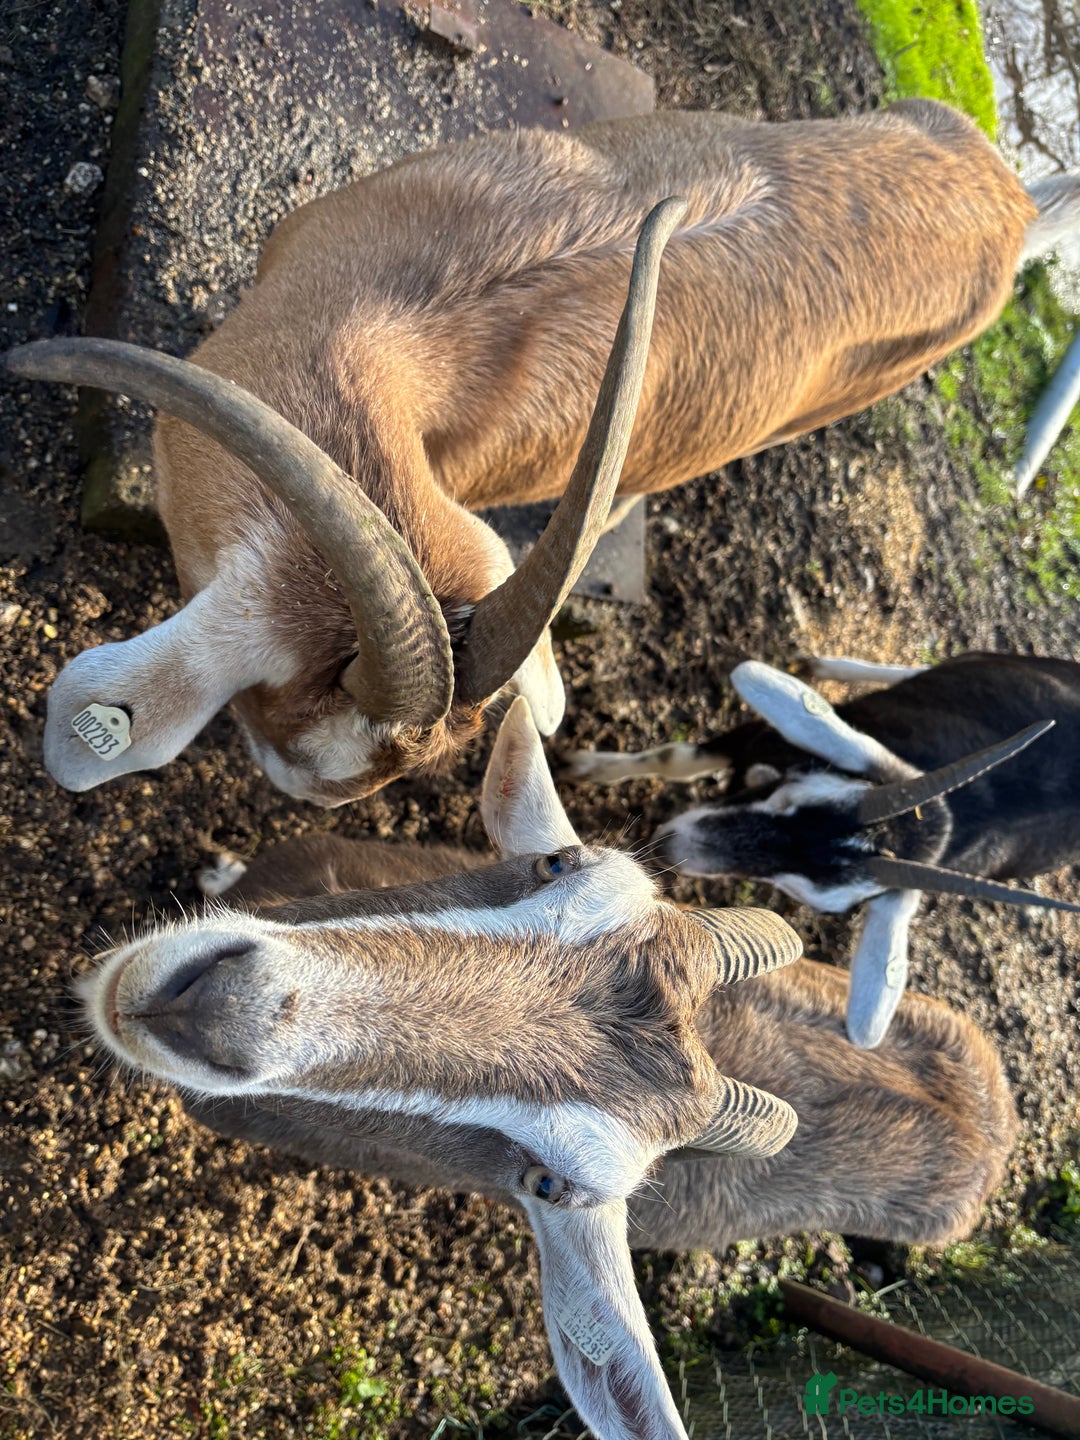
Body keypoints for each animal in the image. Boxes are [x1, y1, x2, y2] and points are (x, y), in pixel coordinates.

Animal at [567, 653, 1080, 1049]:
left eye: (804, 896)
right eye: (789, 792)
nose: (672, 843)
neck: (961, 817)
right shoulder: (760, 737)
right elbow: (675, 757)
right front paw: (584, 766)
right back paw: (825, 665)